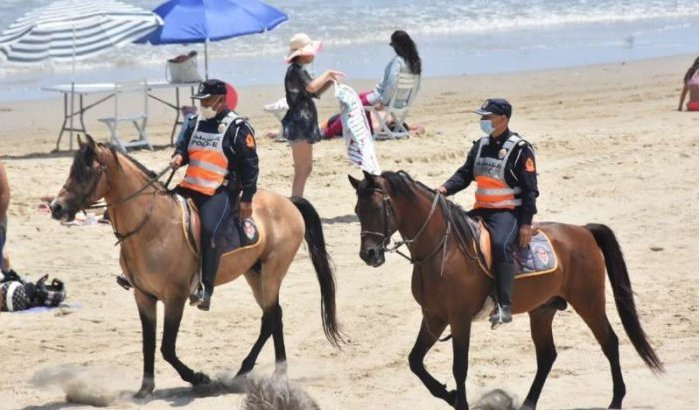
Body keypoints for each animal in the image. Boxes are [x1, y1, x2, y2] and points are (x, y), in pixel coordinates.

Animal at [50, 136, 344, 398]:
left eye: (86, 172)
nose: (56, 207)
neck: (152, 226)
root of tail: (288, 202)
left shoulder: (175, 296)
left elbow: (167, 348)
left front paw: (198, 378)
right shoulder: (143, 296)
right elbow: (148, 344)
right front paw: (145, 388)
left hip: (273, 272)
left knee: (269, 318)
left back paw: (247, 372)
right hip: (254, 273)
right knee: (275, 316)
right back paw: (275, 373)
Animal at [350, 170, 668, 410]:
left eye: (377, 208)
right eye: (357, 211)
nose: (369, 254)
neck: (442, 249)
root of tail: (583, 231)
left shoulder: (459, 320)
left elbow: (459, 367)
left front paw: (459, 401)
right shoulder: (433, 317)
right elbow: (415, 362)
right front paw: (449, 396)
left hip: (589, 303)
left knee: (609, 342)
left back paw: (616, 401)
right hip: (543, 311)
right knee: (547, 356)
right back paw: (528, 403)